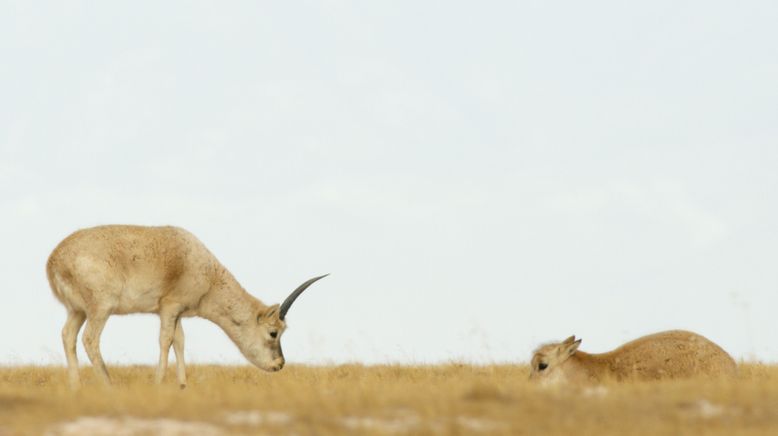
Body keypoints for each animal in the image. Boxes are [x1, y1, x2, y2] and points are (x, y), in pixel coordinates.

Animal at [47, 227, 328, 386]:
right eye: (273, 332)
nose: (279, 364)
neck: (203, 267)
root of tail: (53, 261)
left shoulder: (179, 312)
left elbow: (180, 341)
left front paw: (182, 384)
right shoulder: (169, 307)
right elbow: (165, 340)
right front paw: (159, 382)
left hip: (77, 311)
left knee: (67, 335)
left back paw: (76, 386)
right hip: (100, 308)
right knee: (89, 339)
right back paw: (108, 384)